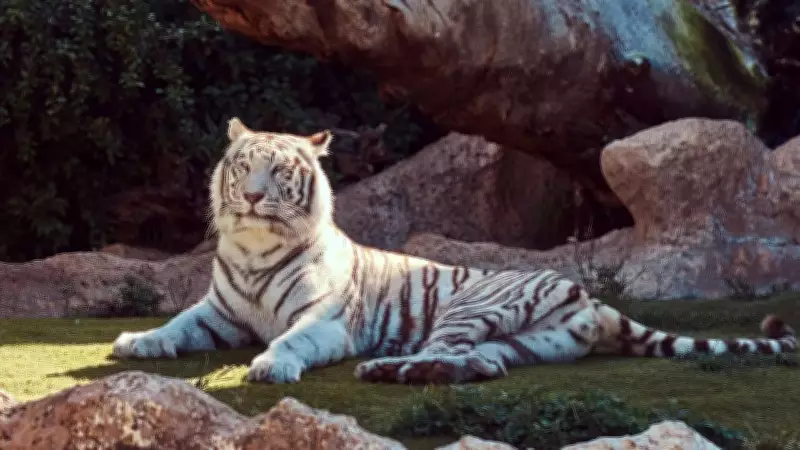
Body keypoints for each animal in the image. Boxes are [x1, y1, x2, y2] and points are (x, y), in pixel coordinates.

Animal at [111, 117, 798, 385]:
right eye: (243, 167)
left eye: (280, 172)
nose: (253, 196)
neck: (254, 251)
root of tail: (589, 296)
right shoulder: (218, 312)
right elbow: (175, 324)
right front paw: (136, 342)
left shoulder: (325, 320)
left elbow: (292, 340)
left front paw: (271, 366)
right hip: (529, 342)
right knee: (481, 363)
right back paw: (417, 371)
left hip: (471, 309)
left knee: (446, 351)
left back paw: (387, 367)